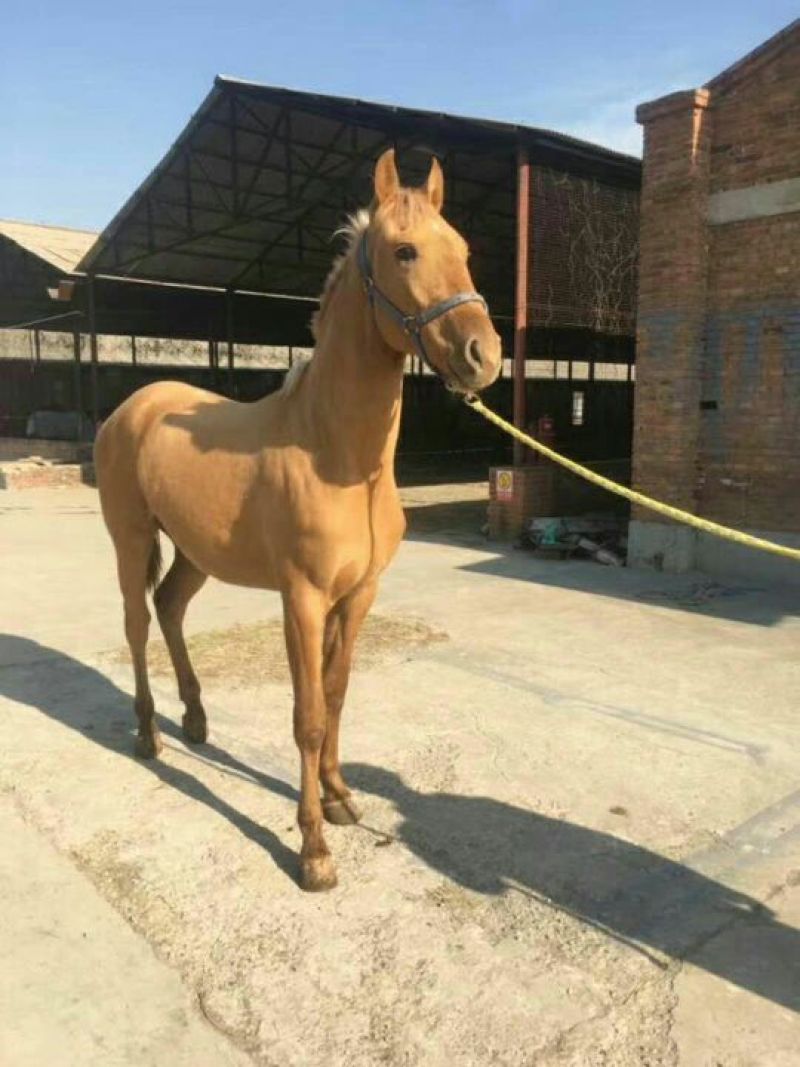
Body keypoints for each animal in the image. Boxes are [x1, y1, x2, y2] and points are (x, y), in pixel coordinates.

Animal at [94, 148, 502, 891]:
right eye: (404, 251)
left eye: (463, 250)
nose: (482, 357)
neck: (336, 455)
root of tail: (132, 407)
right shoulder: (303, 599)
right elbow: (308, 714)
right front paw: (313, 848)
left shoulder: (359, 594)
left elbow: (337, 695)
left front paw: (340, 798)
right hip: (131, 540)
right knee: (137, 623)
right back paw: (149, 734)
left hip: (196, 552)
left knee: (170, 608)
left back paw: (195, 719)